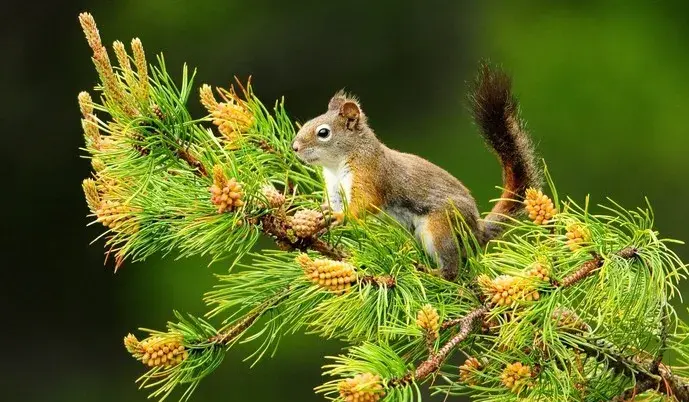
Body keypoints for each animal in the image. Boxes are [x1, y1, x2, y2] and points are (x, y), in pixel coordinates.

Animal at [290, 64, 536, 282]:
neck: (337, 165)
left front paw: (342, 217)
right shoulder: (334, 187)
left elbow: (365, 202)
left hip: (440, 228)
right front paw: (323, 213)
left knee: (452, 268)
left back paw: (434, 273)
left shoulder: (369, 174)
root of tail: (476, 231)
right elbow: (334, 204)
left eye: (323, 133)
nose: (294, 147)